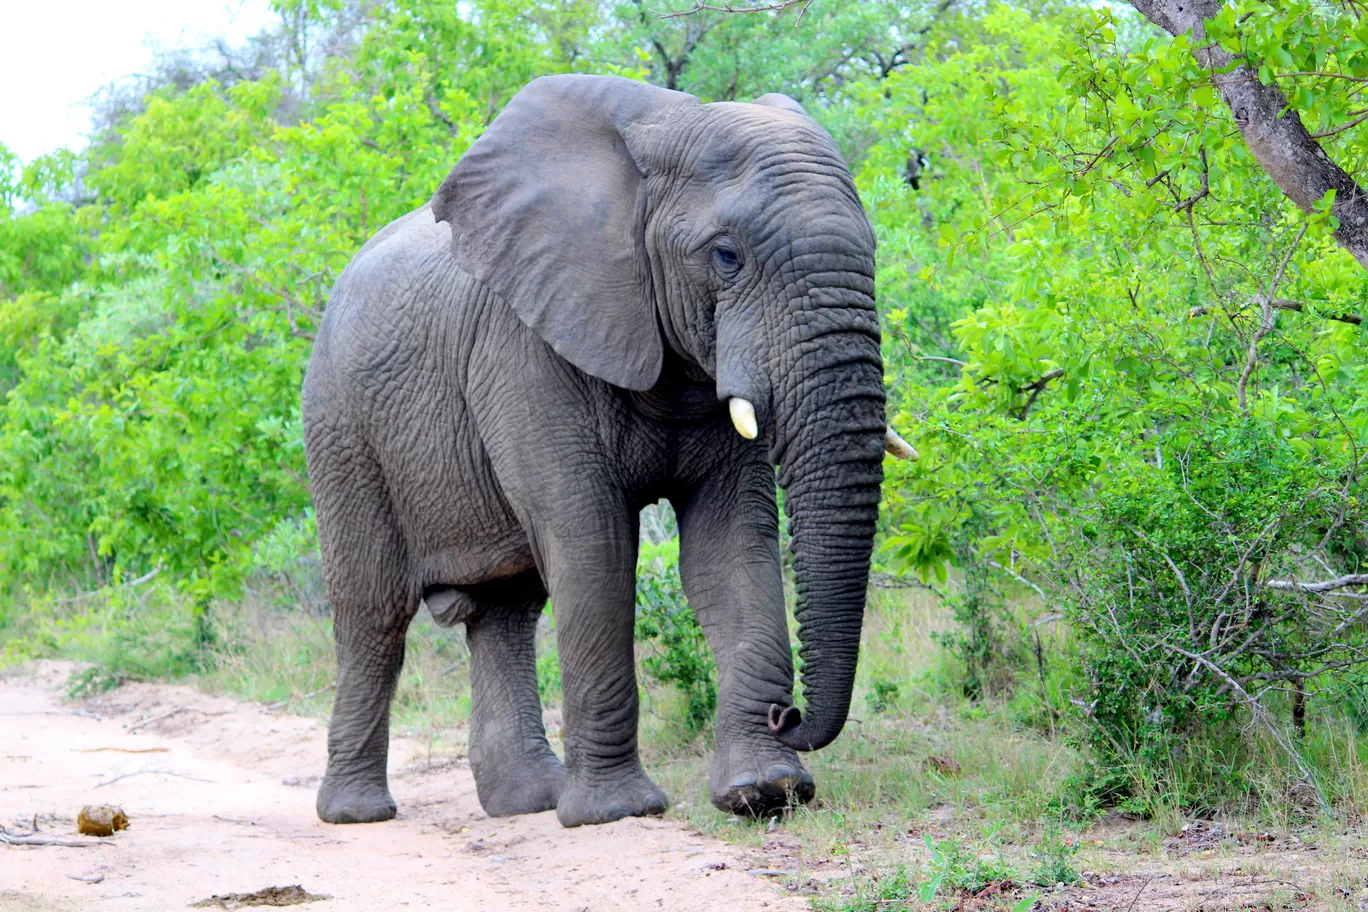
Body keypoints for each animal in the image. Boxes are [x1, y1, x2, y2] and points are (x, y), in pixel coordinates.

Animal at [305, 73, 913, 825]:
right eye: (726, 256)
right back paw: (358, 814)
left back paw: (527, 803)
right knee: (374, 611)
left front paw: (765, 791)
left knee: (506, 612)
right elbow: (593, 547)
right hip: (339, 426)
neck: (658, 133)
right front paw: (617, 812)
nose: (789, 714)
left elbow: (731, 551)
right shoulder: (524, 350)